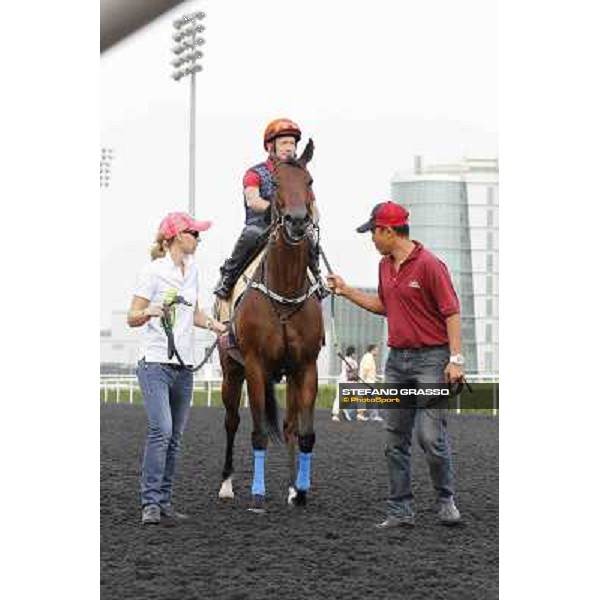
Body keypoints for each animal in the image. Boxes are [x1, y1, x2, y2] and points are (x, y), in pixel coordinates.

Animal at [218, 139, 326, 510]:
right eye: (276, 182)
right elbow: (259, 432)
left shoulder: (306, 366)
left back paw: (293, 487)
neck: (284, 294)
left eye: (309, 181)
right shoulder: (255, 365)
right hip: (231, 370)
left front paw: (301, 491)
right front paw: (258, 493)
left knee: (290, 425)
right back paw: (226, 484)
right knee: (232, 422)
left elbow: (304, 433)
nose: (297, 221)